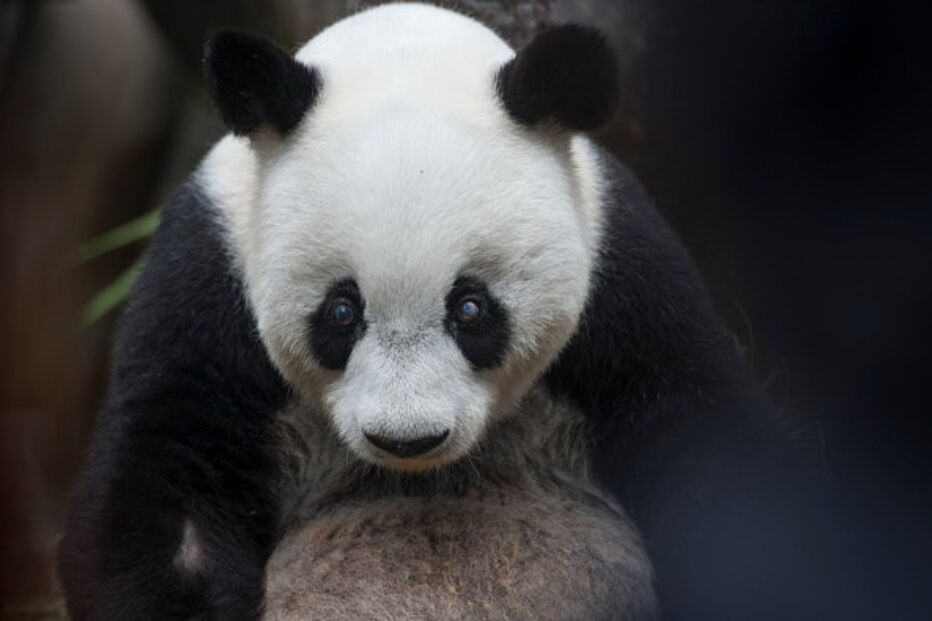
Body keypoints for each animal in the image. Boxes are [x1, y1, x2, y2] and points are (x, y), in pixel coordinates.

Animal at [59, 3, 788, 620]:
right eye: (341, 312)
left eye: (471, 308)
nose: (407, 439)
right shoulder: (206, 273)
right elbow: (170, 482)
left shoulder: (625, 275)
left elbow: (703, 443)